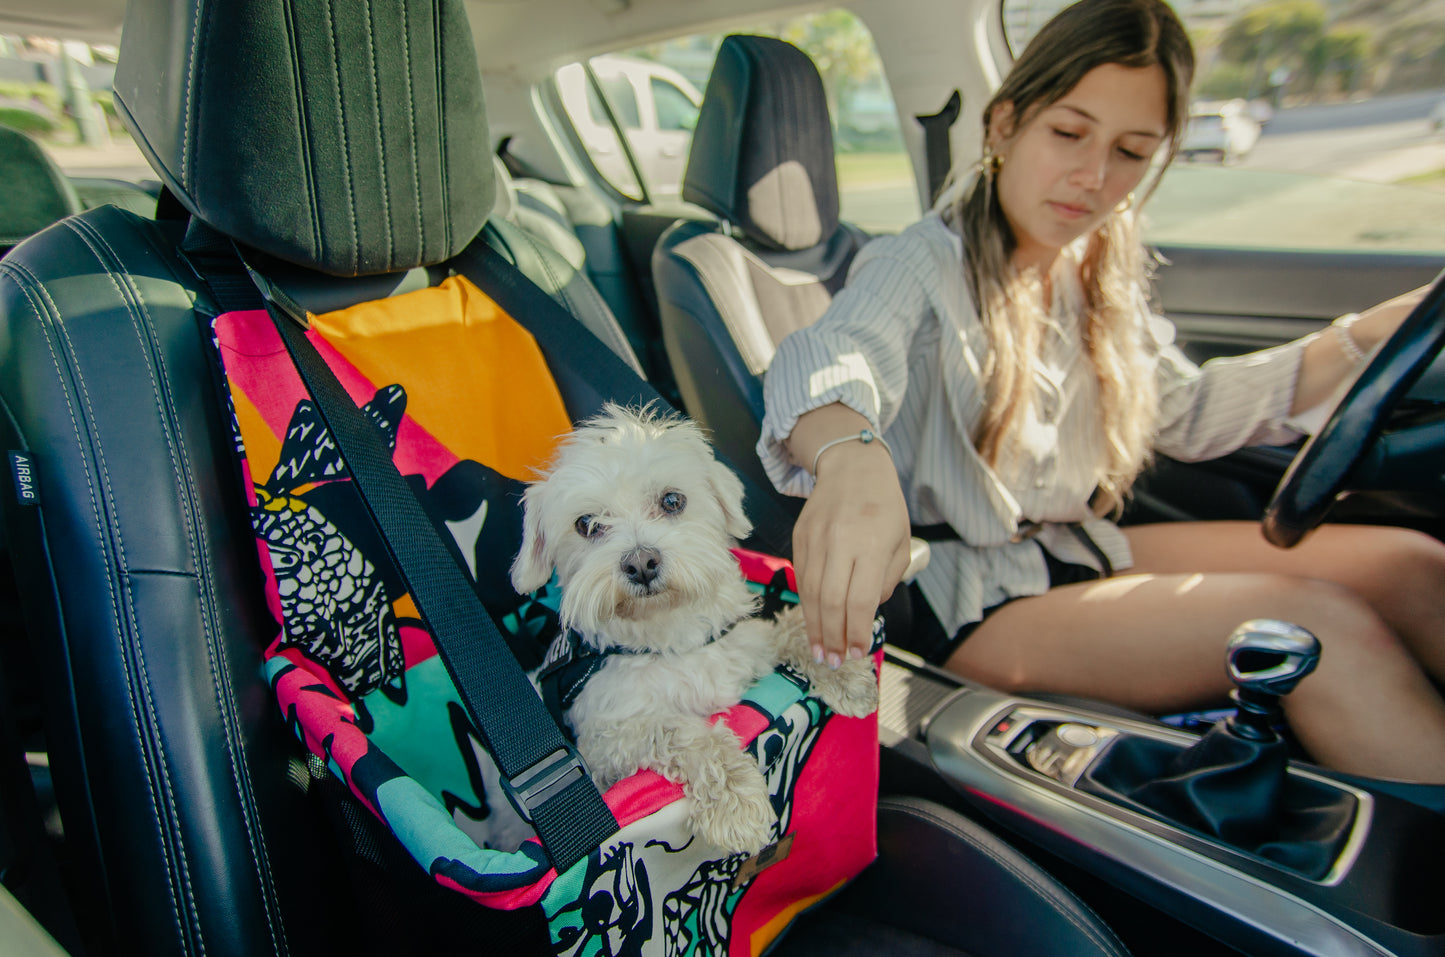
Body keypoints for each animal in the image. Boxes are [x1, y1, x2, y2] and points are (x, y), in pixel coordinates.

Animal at [517, 401, 878, 855]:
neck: (671, 639)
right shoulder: (604, 741)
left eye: (672, 500)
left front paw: (843, 673)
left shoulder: (743, 645)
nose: (641, 562)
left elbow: (786, 632)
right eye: (586, 524)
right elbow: (678, 731)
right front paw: (736, 800)